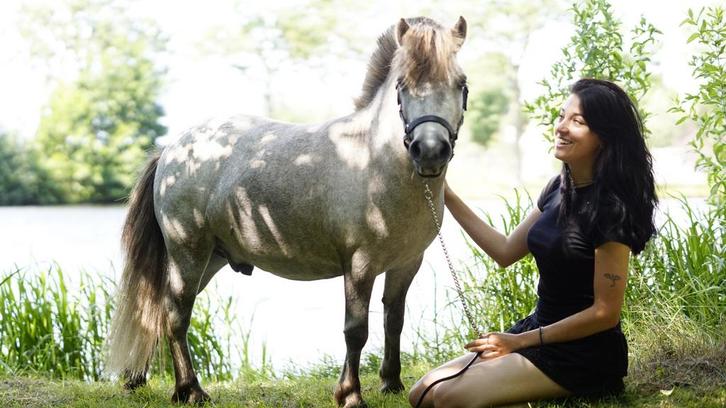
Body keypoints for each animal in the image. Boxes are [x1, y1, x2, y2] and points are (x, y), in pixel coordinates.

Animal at [106, 16, 468, 407]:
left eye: (460, 84)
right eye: (403, 86)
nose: (429, 151)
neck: (373, 161)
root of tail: (172, 148)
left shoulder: (406, 263)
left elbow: (394, 320)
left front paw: (392, 383)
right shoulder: (360, 266)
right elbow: (356, 330)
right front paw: (350, 394)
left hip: (209, 259)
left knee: (158, 313)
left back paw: (145, 381)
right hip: (188, 253)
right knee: (176, 315)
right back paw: (191, 390)